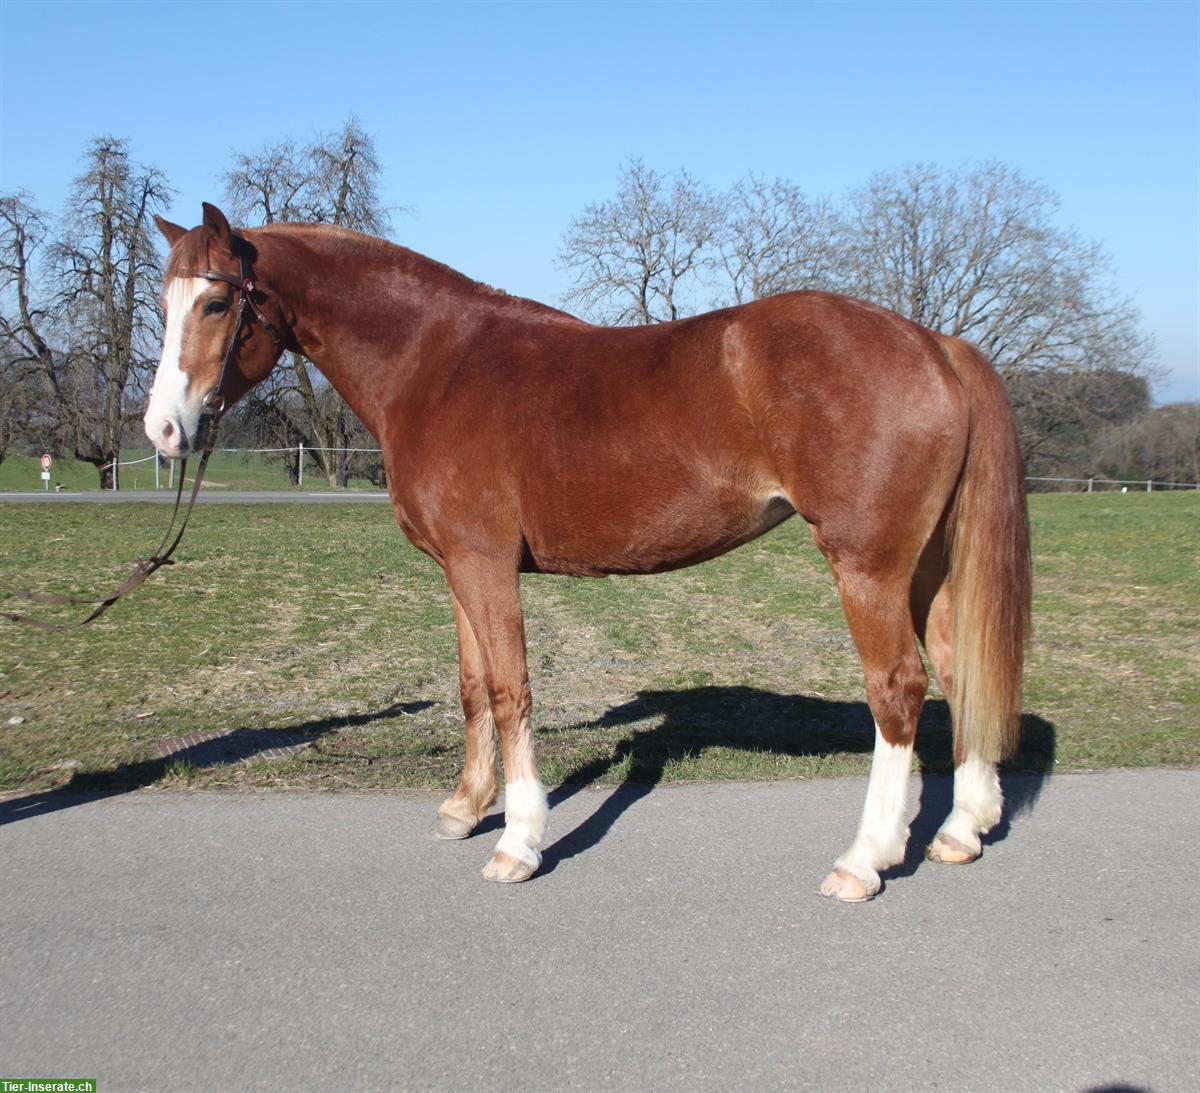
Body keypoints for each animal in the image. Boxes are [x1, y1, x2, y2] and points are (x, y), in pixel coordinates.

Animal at [147, 202, 1032, 897]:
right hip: (927, 568)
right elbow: (472, 687)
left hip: (868, 568)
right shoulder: (457, 570)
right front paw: (465, 808)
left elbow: (511, 691)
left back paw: (865, 858)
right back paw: (961, 829)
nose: (163, 430)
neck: (437, 364)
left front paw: (519, 839)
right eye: (164, 300)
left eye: (217, 301)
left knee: (899, 689)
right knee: (959, 670)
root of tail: (932, 342)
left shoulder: (485, 566)